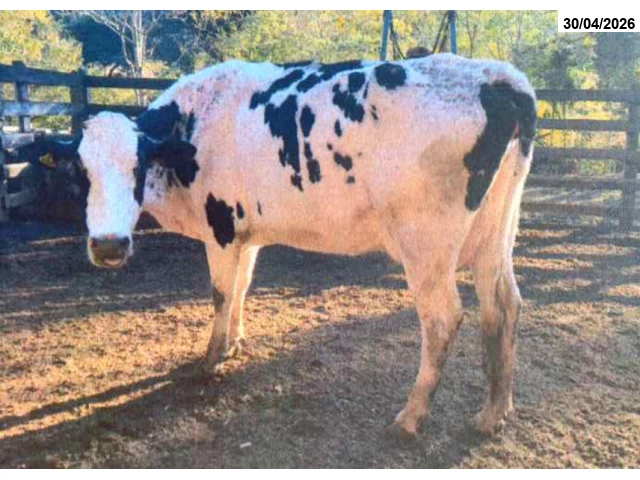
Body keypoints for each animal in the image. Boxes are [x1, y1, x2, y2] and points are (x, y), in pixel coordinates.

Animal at [36, 54, 536, 441]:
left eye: (138, 165)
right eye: (80, 169)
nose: (108, 247)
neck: (197, 125)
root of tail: (497, 76)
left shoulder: (221, 228)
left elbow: (220, 293)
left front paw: (211, 358)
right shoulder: (245, 233)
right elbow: (241, 288)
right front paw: (235, 343)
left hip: (425, 243)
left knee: (443, 320)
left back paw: (410, 418)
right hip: (495, 233)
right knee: (504, 306)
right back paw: (494, 413)